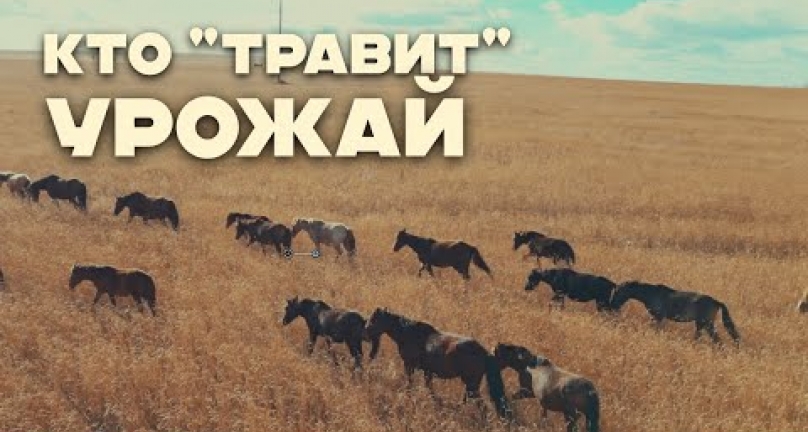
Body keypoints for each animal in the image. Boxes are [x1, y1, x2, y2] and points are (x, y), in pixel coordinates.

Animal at [363, 308, 512, 419]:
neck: (408, 334)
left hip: (471, 384)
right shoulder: (427, 371)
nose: (366, 330)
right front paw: (437, 403)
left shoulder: (409, 366)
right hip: (471, 384)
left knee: (482, 406)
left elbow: (410, 384)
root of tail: (485, 353)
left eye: (374, 319)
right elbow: (429, 388)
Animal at [611, 281, 740, 345]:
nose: (612, 304)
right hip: (701, 324)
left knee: (716, 340)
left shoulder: (658, 317)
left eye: (617, 292)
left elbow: (656, 330)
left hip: (706, 323)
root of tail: (716, 301)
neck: (651, 293)